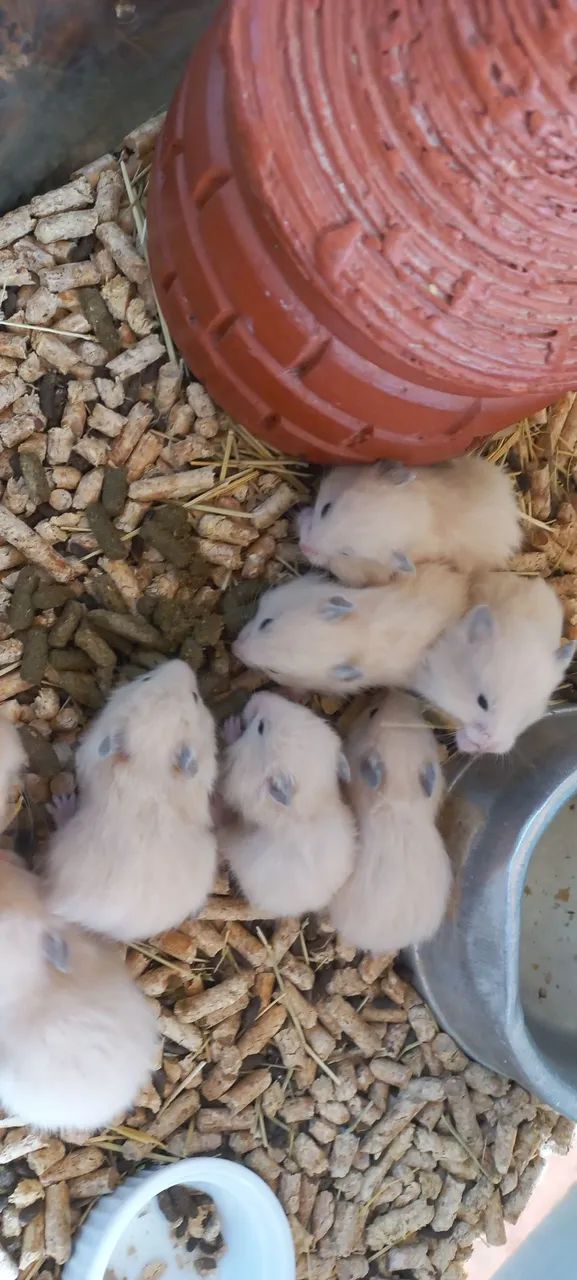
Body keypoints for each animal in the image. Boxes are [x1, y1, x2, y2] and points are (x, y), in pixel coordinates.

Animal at [45, 659, 218, 941]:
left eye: (195, 696)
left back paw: (62, 801)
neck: (149, 763)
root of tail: (61, 905)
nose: (181, 663)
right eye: (146, 679)